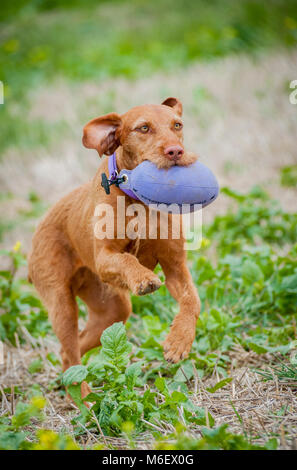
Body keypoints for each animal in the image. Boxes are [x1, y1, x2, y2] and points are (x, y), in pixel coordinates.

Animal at [28, 97, 199, 398]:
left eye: (177, 125)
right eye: (143, 128)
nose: (175, 151)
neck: (139, 202)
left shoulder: (176, 267)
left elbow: (192, 301)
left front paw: (179, 341)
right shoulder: (105, 259)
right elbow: (127, 260)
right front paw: (143, 278)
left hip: (112, 310)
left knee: (70, 350)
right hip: (62, 306)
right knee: (71, 352)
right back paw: (84, 399)